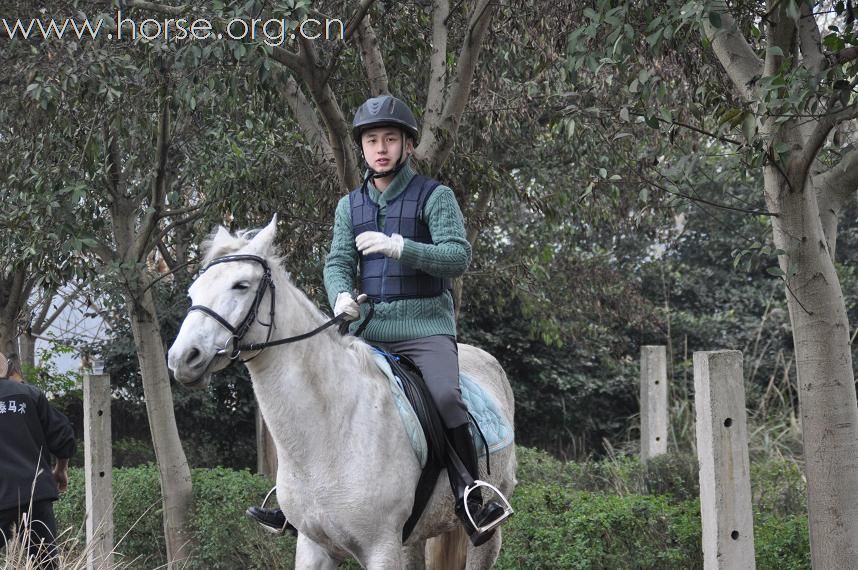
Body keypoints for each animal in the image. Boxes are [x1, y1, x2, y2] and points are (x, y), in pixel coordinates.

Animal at [167, 217, 516, 568]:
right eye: (193, 291)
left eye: (240, 284)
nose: (183, 358)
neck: (330, 428)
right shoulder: (314, 545)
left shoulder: (381, 548)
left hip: (485, 534)